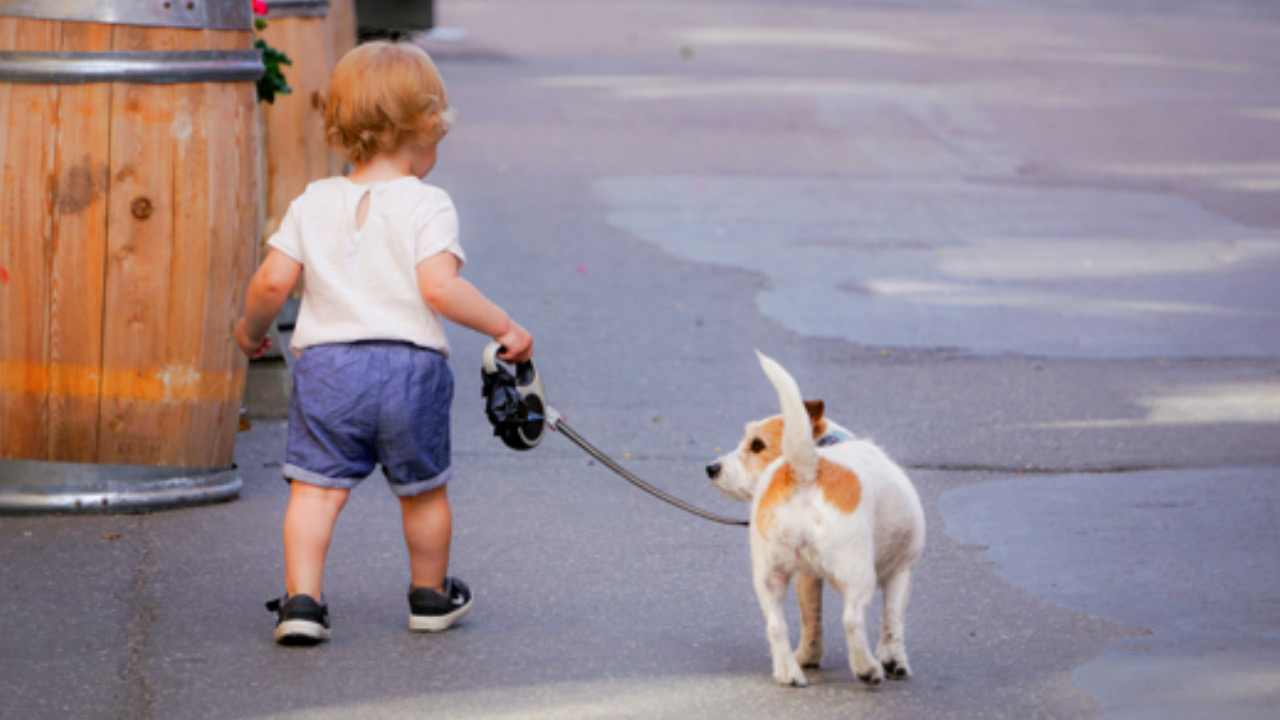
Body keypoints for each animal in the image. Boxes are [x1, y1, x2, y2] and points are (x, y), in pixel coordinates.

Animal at [706, 351, 926, 686]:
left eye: (756, 445)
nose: (711, 468)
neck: (827, 445)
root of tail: (805, 470)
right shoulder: (901, 570)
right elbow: (892, 622)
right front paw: (894, 662)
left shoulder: (807, 577)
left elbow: (811, 618)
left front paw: (809, 656)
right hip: (860, 574)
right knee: (852, 620)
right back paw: (867, 668)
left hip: (768, 577)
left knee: (775, 625)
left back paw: (788, 672)